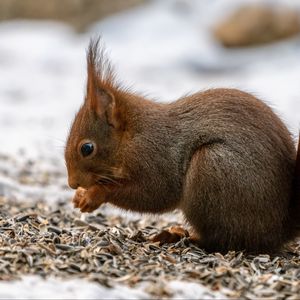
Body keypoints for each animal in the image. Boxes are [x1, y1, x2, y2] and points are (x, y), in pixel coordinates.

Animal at [65, 37, 300, 253]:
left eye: (87, 148)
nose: (72, 183)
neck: (132, 137)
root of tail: (280, 229)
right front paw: (80, 196)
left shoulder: (155, 158)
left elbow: (155, 194)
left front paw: (94, 194)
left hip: (210, 169)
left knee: (223, 240)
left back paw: (179, 237)